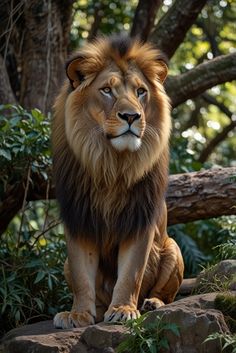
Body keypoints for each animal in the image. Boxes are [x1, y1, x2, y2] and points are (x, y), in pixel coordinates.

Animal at [51, 35, 184, 328]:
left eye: (141, 91)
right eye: (106, 91)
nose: (131, 116)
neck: (112, 164)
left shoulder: (140, 219)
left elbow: (131, 273)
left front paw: (123, 309)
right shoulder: (79, 219)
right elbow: (82, 276)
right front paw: (78, 314)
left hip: (172, 247)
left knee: (167, 294)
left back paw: (152, 303)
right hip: (64, 263)